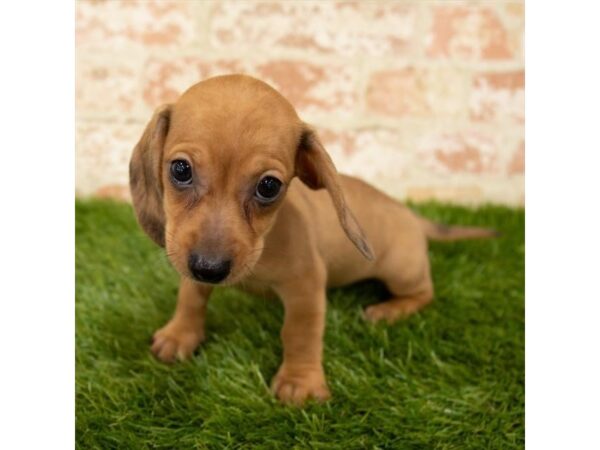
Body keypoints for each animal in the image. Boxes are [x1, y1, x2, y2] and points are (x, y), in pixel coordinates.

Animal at [127, 74, 496, 404]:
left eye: (269, 186)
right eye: (180, 169)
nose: (209, 268)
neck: (265, 242)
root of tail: (412, 215)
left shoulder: (305, 286)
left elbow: (299, 333)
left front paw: (300, 381)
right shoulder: (187, 256)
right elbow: (191, 297)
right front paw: (180, 335)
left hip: (402, 271)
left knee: (424, 293)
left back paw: (389, 311)